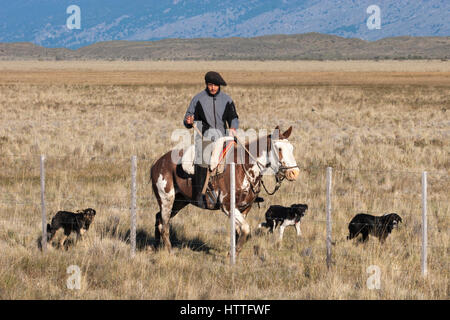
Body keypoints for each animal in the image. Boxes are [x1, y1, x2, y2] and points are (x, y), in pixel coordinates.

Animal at [149, 126, 300, 254]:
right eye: (279, 148)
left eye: (292, 148)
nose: (294, 173)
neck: (243, 168)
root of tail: (157, 163)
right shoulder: (228, 206)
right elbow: (245, 229)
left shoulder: (245, 208)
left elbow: (238, 231)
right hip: (166, 200)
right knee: (164, 226)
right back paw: (170, 252)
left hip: (179, 202)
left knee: (158, 219)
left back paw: (156, 247)